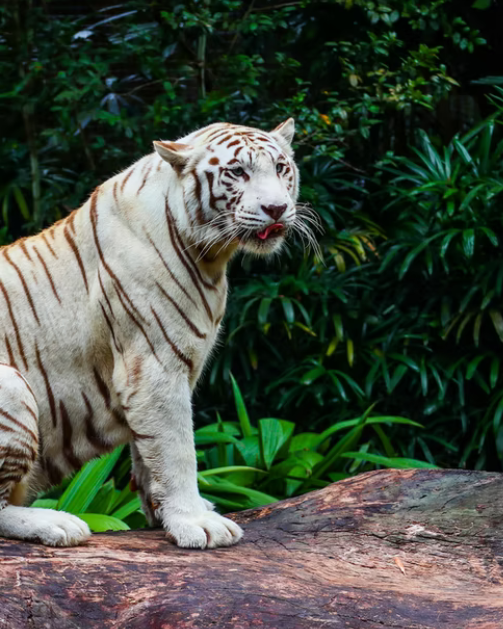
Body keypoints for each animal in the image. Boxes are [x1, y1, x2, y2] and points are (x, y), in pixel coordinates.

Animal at [0, 116, 306, 544]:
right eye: (236, 172)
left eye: (280, 168)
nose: (276, 207)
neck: (211, 257)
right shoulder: (155, 365)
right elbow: (177, 448)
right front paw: (196, 522)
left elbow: (150, 452)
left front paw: (164, 514)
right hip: (11, 385)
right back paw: (57, 523)